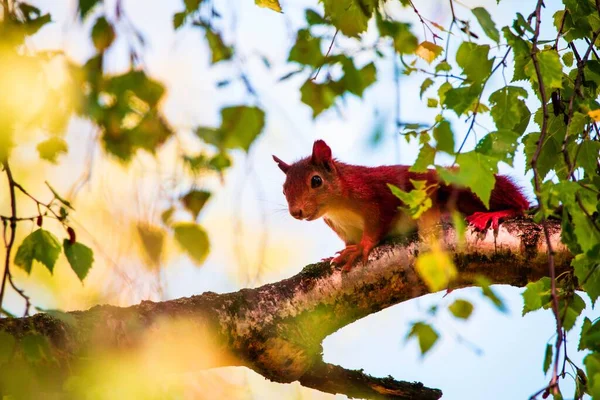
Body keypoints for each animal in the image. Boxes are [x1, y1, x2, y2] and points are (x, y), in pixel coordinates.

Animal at [274, 139, 528, 270]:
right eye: (284, 188)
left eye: (316, 181)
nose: (296, 212)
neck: (337, 210)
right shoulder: (343, 229)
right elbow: (347, 243)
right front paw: (335, 256)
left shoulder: (376, 195)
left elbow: (377, 224)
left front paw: (361, 247)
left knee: (521, 205)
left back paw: (496, 213)